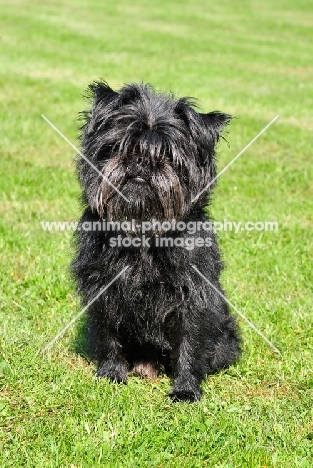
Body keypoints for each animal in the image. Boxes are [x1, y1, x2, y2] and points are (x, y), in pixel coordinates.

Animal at [72, 81, 240, 402]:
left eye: (167, 154)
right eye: (121, 146)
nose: (142, 160)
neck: (143, 231)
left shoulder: (193, 294)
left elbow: (189, 341)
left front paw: (185, 389)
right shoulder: (103, 286)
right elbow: (109, 334)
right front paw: (111, 374)